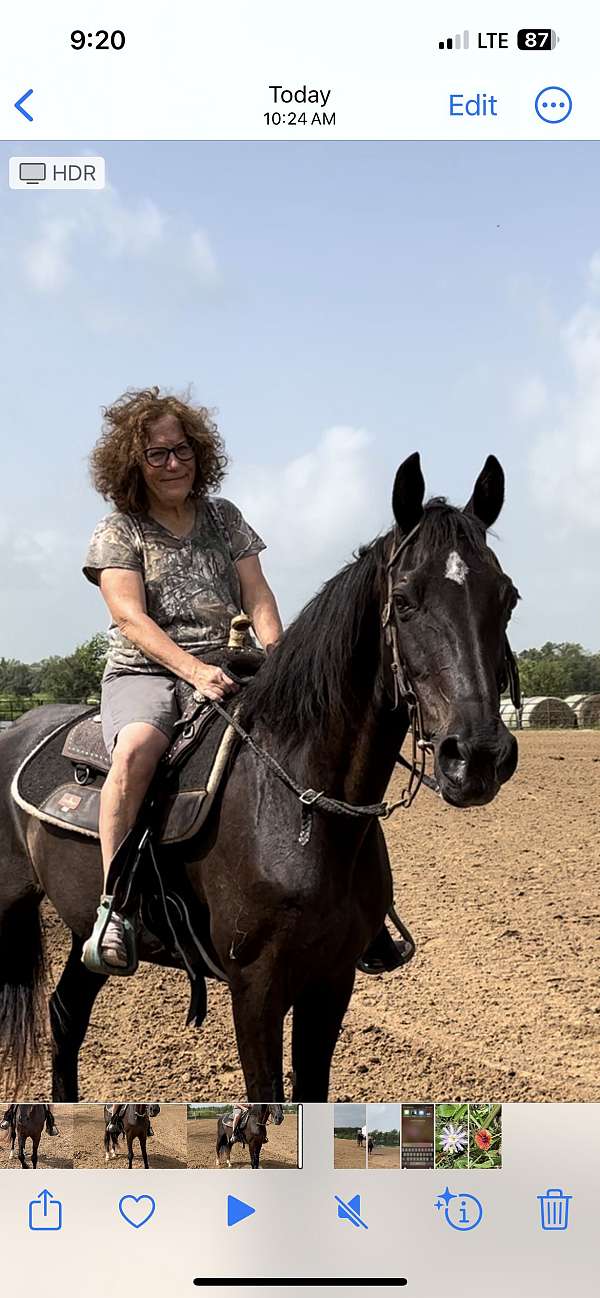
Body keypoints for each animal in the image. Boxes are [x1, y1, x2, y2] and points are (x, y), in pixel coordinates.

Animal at [0, 456, 519, 1105]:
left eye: (507, 597)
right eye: (403, 600)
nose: (476, 756)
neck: (300, 806)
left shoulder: (331, 982)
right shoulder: (256, 990)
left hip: (79, 932)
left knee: (67, 1014)